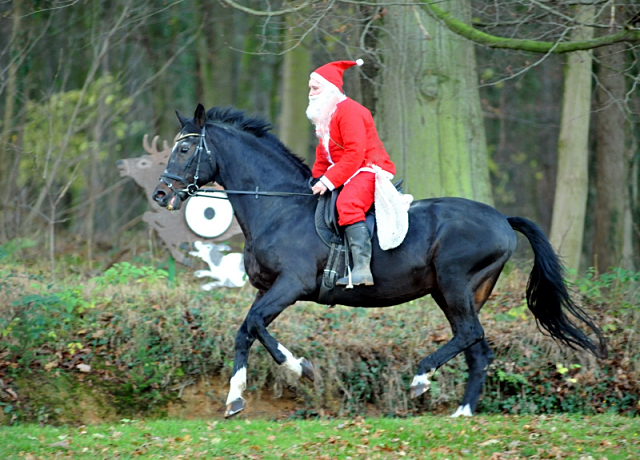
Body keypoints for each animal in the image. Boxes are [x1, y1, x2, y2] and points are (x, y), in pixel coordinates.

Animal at [151, 103, 604, 416]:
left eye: (186, 148)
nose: (160, 194)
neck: (278, 207)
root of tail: (501, 219)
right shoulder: (268, 289)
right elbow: (248, 330)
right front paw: (238, 397)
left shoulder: (290, 285)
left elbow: (255, 325)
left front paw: (298, 370)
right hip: (454, 292)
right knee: (476, 348)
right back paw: (462, 412)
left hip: (455, 282)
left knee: (469, 334)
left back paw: (422, 379)